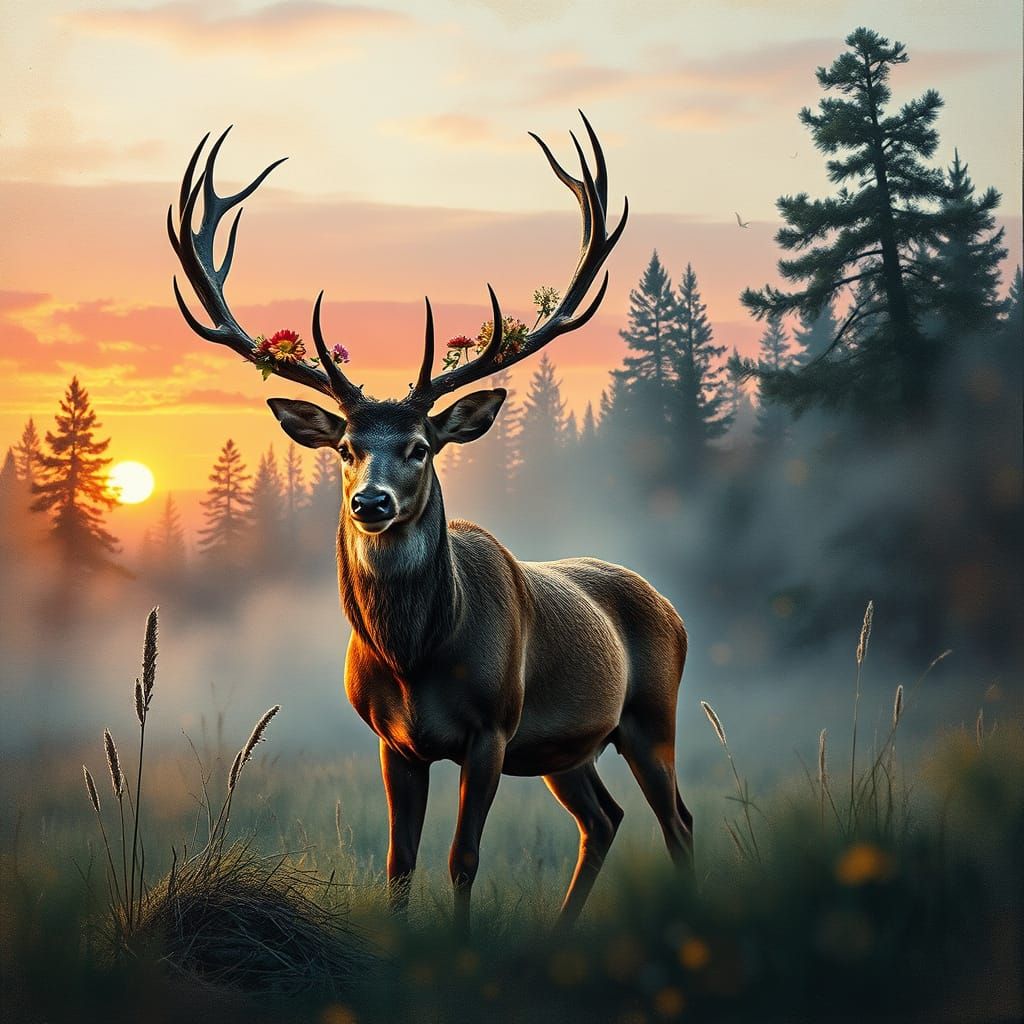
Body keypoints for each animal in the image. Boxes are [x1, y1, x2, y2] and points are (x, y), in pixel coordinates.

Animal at [168, 114, 693, 932]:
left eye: (420, 446)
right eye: (346, 448)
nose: (372, 503)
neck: (417, 654)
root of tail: (671, 608)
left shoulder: (491, 729)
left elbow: (462, 858)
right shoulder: (395, 741)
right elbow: (400, 862)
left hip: (650, 714)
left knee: (677, 822)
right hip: (568, 746)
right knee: (604, 820)